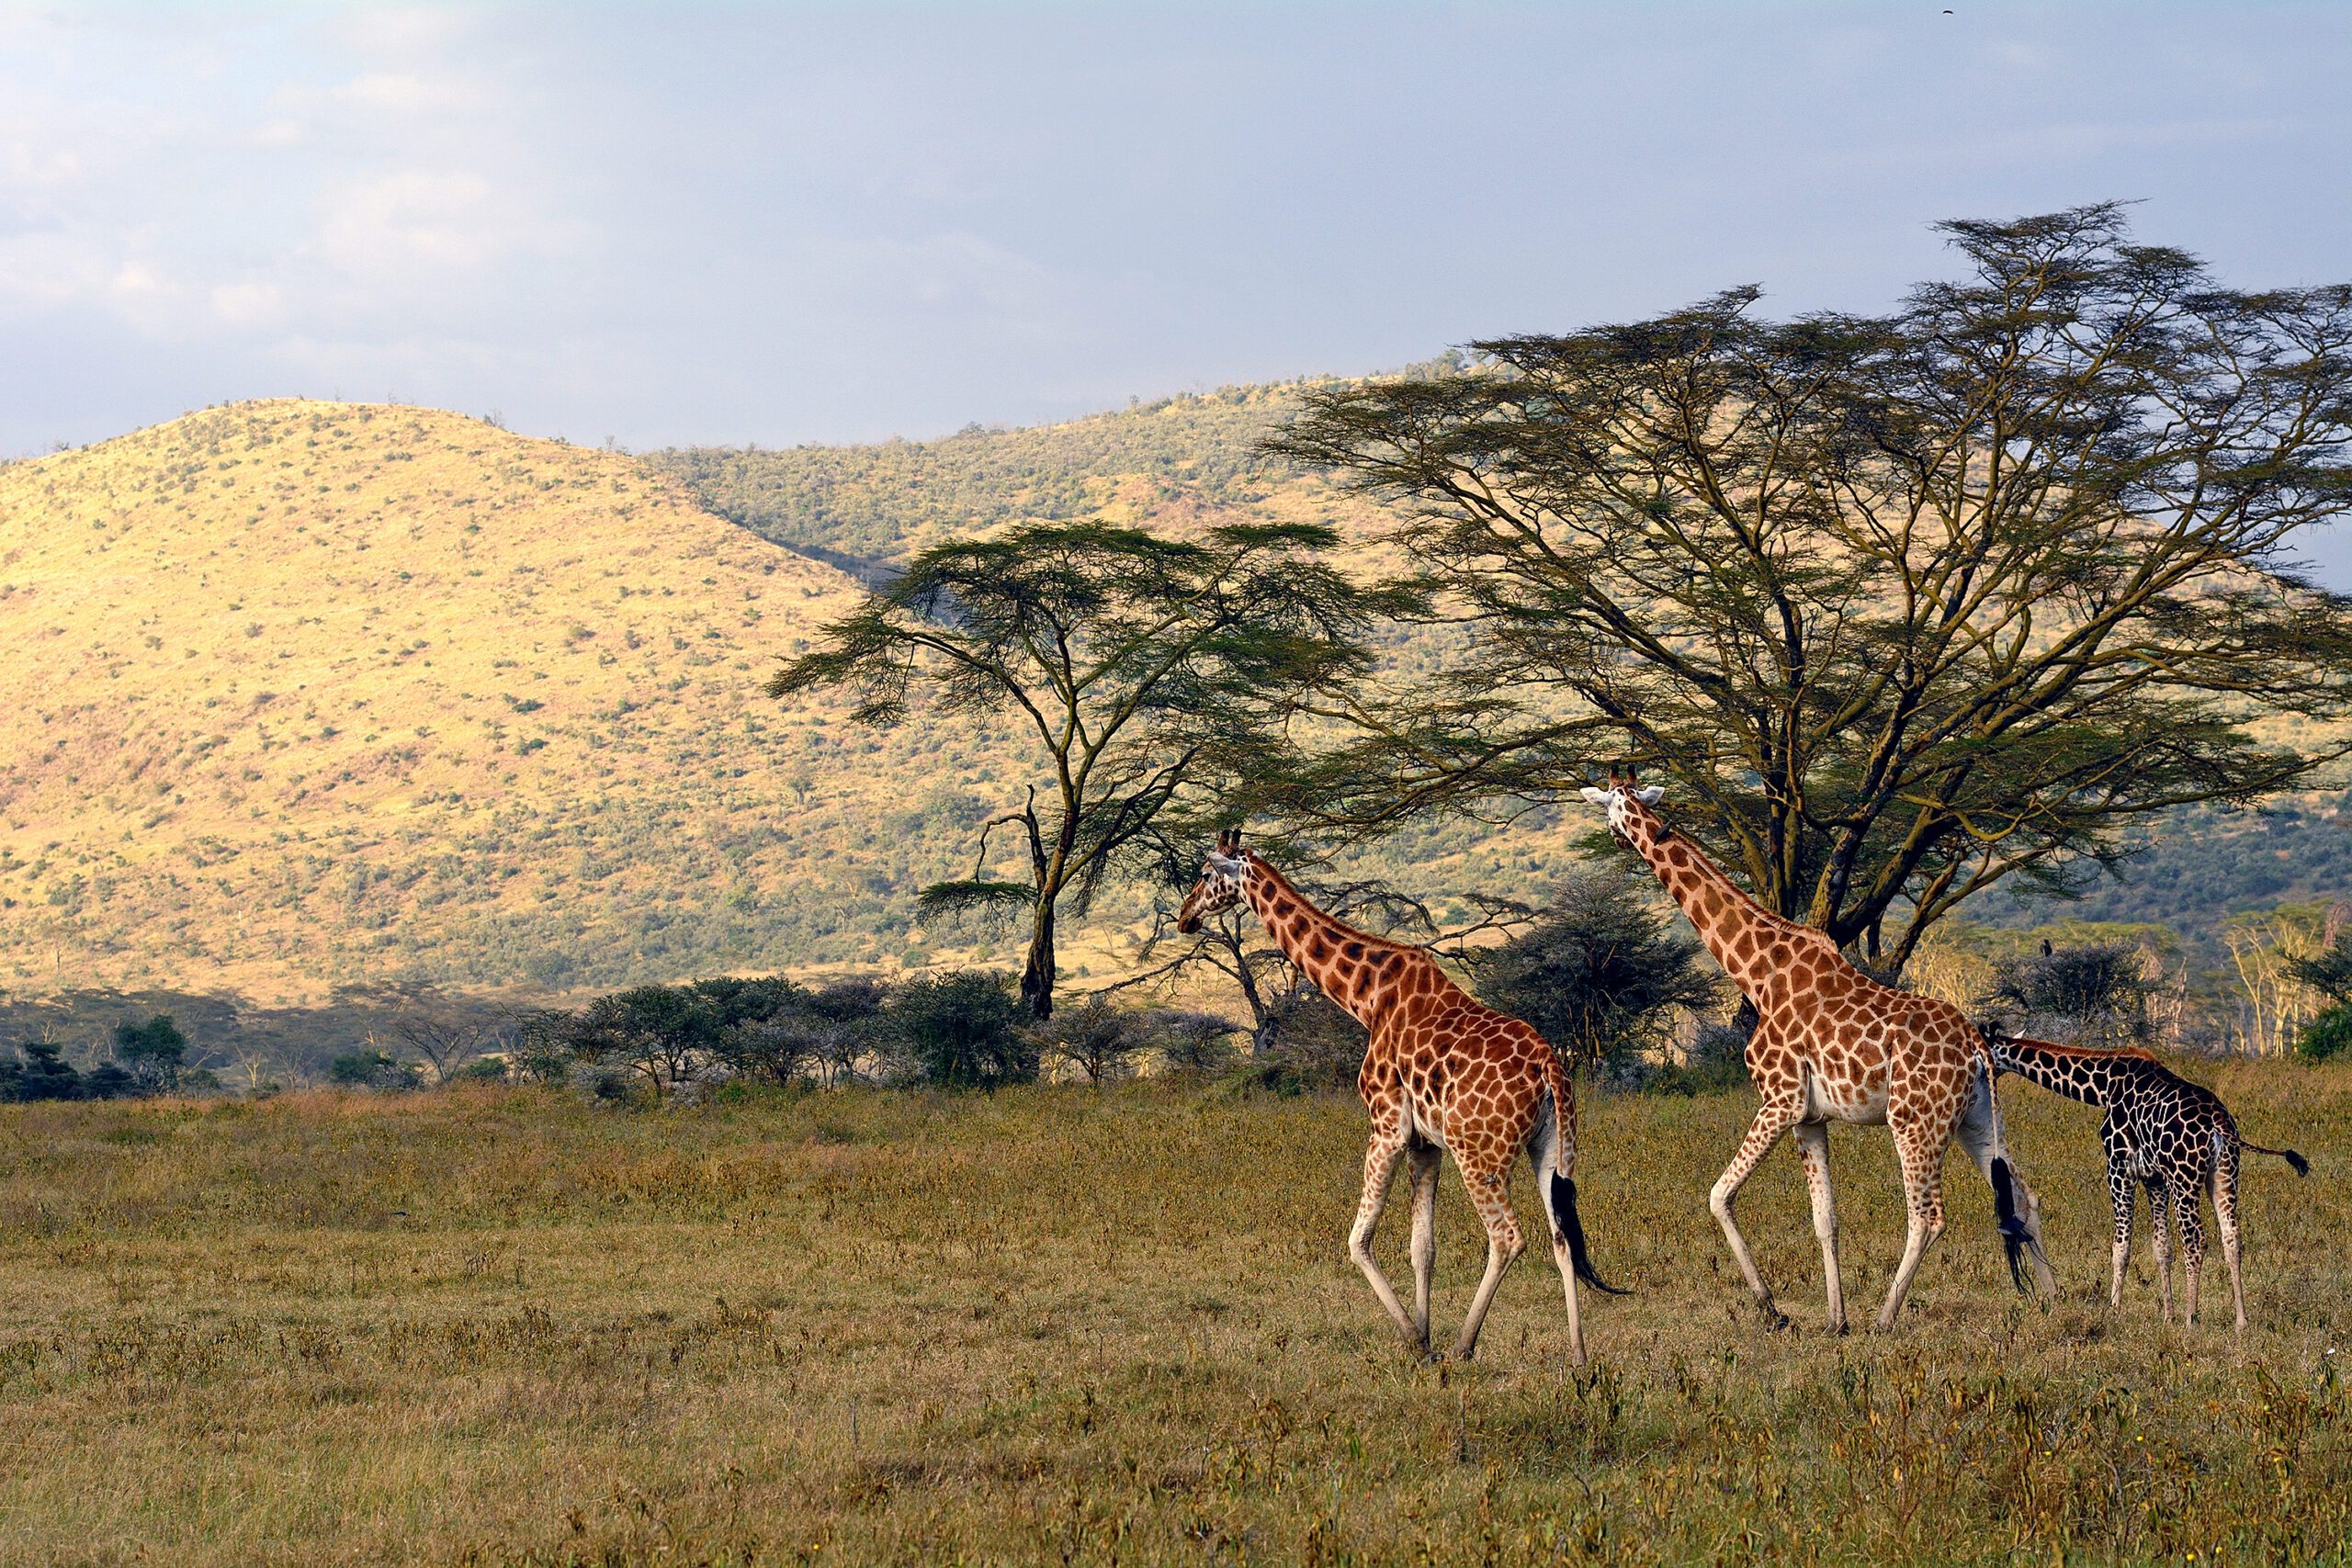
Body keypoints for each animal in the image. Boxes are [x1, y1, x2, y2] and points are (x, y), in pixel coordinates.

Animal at [1170, 831, 1618, 1363]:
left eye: (1203, 874)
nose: (1184, 916)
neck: (1367, 999)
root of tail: (1548, 1068)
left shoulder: (1387, 1125)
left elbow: (1358, 1240)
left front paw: (1417, 1342)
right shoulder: (1426, 1143)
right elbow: (1422, 1246)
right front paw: (1424, 1334)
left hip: (1479, 1152)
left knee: (1508, 1237)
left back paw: (1464, 1346)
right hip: (1550, 1148)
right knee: (1562, 1236)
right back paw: (1579, 1356)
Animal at [1580, 780, 2060, 1335]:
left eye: (1612, 808)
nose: (1616, 836)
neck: (1757, 974)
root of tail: (1978, 1049)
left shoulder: (1779, 1100)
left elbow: (1719, 1196)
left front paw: (1771, 1307)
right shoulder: (1810, 1117)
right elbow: (1825, 1218)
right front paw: (1834, 1319)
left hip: (1914, 1120)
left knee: (1928, 1216)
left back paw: (1885, 1317)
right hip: (1973, 1119)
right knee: (2024, 1195)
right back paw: (2056, 1302)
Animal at [1984, 1029, 2314, 1335]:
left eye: (1986, 1052)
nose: (1985, 1078)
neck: (2103, 1085)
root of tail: (2219, 1125)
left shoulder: (2120, 1168)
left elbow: (2121, 1246)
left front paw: (2115, 1310)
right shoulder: (2155, 1177)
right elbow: (2162, 1247)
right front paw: (2167, 1316)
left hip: (2185, 1179)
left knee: (2195, 1241)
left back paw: (2191, 1318)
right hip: (2224, 1175)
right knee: (2232, 1237)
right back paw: (2241, 1321)